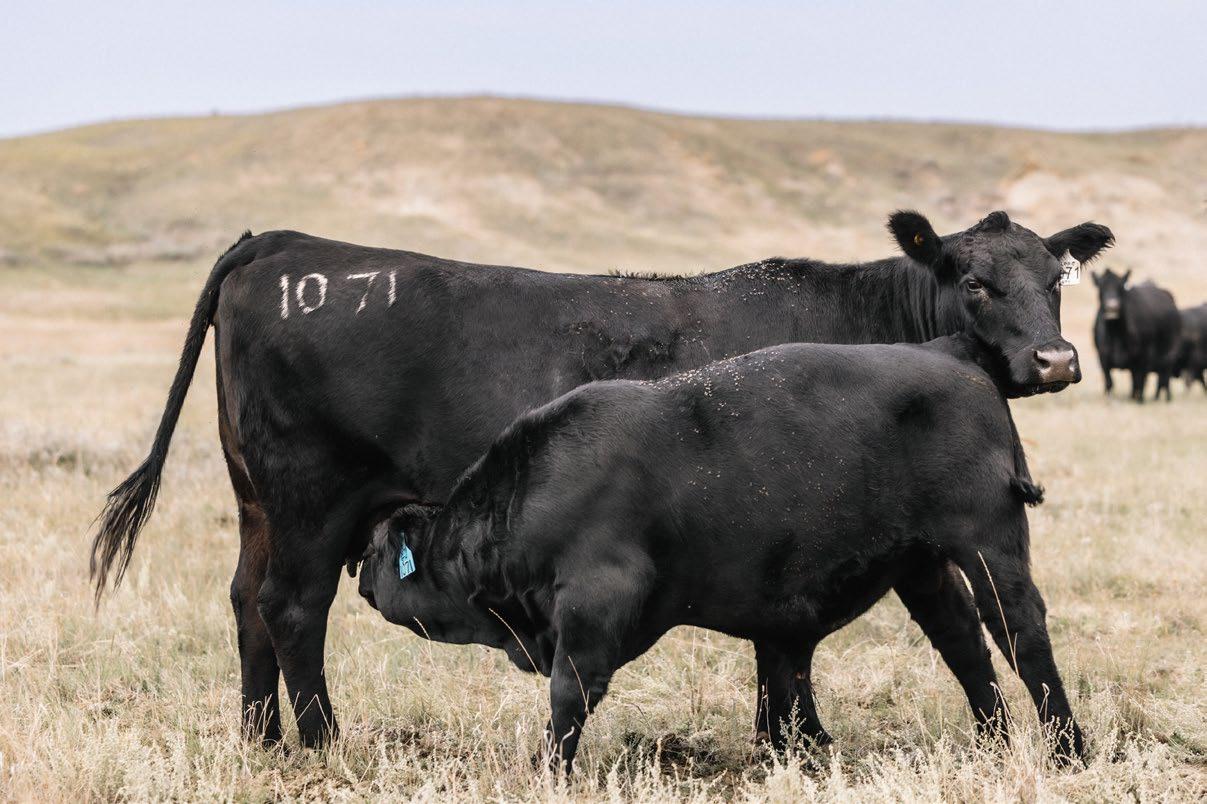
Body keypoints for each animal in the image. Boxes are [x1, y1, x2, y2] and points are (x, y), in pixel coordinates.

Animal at [357, 332, 1084, 773]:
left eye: (376, 549)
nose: (357, 576)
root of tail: (947, 350)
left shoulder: (595, 602)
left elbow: (569, 693)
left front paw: (551, 773)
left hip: (988, 541)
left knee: (1020, 634)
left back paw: (1067, 748)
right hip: (923, 567)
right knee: (964, 645)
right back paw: (993, 745)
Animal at [1092, 269, 1180, 402]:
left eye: (1120, 288)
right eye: (1101, 287)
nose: (1112, 307)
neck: (1116, 334)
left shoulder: (1144, 356)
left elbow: (1140, 381)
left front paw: (1140, 401)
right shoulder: (1103, 357)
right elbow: (1109, 382)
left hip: (1169, 353)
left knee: (1164, 378)